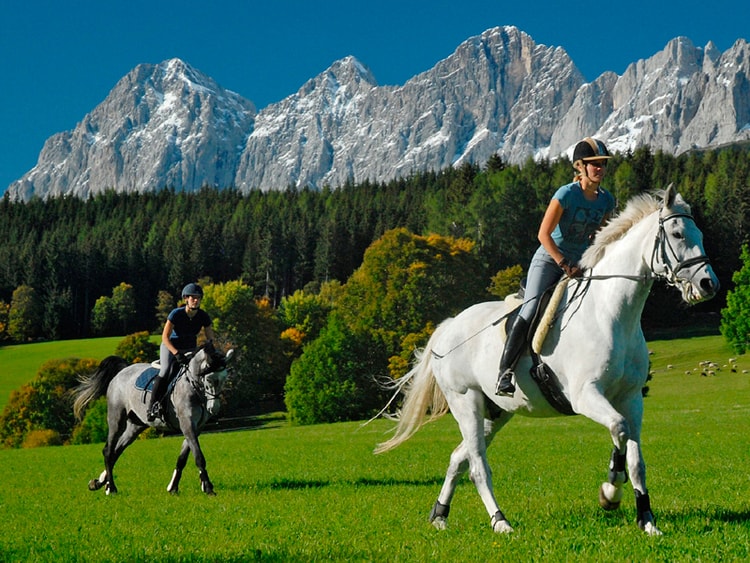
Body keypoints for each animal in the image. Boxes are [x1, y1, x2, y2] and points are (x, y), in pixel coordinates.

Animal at [378, 187, 720, 536]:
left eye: (700, 234)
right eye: (677, 234)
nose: (708, 284)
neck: (611, 314)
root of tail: (447, 328)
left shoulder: (631, 398)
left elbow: (635, 459)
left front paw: (647, 521)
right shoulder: (585, 395)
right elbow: (618, 429)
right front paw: (609, 493)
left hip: (497, 413)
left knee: (459, 458)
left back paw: (440, 515)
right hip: (466, 402)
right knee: (477, 466)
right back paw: (500, 521)